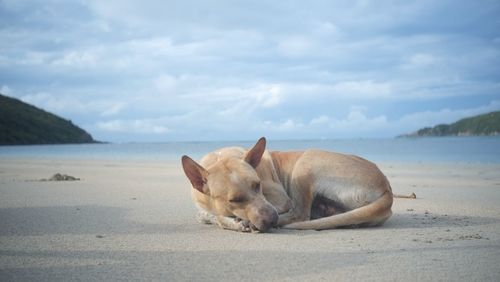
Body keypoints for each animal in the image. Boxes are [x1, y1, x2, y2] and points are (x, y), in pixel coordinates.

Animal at [182, 137, 392, 231]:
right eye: (234, 200)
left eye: (257, 185)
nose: (270, 220)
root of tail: (387, 190)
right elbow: (207, 216)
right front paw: (231, 221)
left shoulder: (281, 200)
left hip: (306, 160)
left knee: (300, 215)